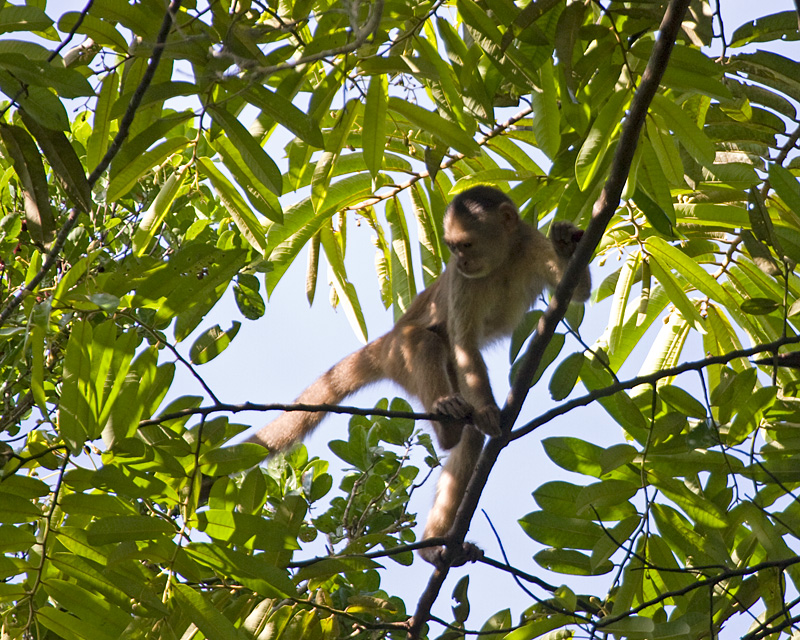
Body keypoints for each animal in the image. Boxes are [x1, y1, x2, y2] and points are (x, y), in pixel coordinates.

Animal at [247, 185, 592, 564]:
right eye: (453, 248)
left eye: (466, 245)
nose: (463, 261)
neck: (504, 260)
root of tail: (385, 340)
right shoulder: (460, 280)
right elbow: (464, 344)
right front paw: (488, 411)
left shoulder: (529, 242)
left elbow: (576, 293)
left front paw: (565, 243)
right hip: (401, 355)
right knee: (426, 342)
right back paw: (446, 425)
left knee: (469, 436)